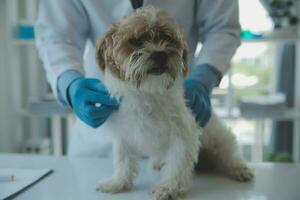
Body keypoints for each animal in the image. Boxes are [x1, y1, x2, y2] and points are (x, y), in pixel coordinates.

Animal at [95, 6, 253, 200]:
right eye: (137, 41)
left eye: (168, 38)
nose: (159, 54)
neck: (148, 93)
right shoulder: (123, 135)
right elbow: (122, 160)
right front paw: (118, 183)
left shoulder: (183, 134)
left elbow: (177, 163)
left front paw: (168, 188)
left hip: (220, 138)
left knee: (229, 153)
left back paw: (240, 168)